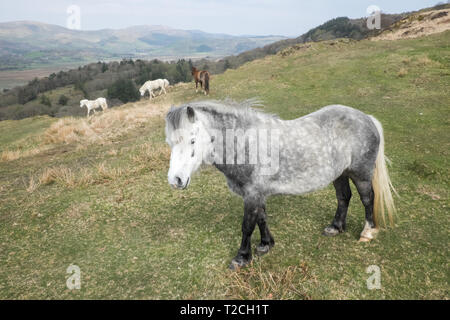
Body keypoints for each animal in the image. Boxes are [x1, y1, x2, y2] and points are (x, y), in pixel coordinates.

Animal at [164, 100, 394, 270]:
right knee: (344, 197)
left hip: (361, 174)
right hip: (340, 174)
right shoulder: (257, 194)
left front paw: (242, 257)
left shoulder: (252, 194)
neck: (247, 144)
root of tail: (367, 118)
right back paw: (335, 227)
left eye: (192, 140)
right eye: (170, 142)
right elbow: (261, 218)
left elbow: (247, 225)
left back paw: (367, 233)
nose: (176, 180)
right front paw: (266, 244)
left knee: (367, 199)